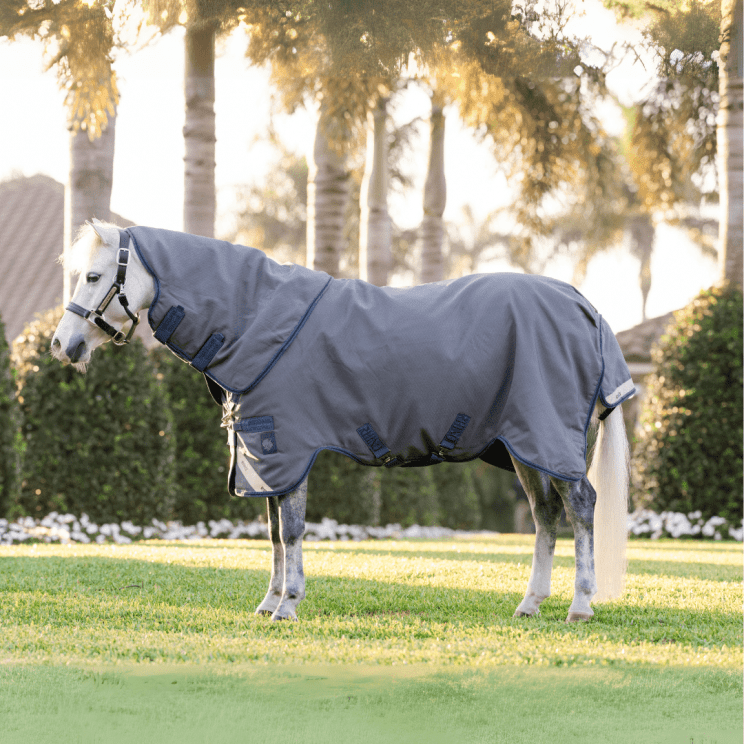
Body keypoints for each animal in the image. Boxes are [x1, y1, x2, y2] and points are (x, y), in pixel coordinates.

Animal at [52, 219, 633, 623]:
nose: (62, 345)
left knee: (581, 506)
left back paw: (580, 605)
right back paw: (530, 604)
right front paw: (269, 602)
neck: (255, 320)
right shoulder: (265, 455)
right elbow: (273, 534)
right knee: (545, 515)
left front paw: (288, 605)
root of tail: (584, 305)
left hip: (548, 436)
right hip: (523, 445)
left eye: (94, 276)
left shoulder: (286, 447)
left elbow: (290, 530)